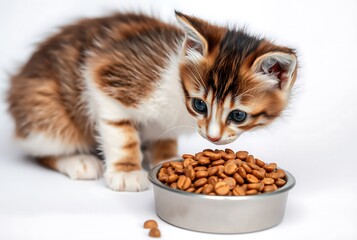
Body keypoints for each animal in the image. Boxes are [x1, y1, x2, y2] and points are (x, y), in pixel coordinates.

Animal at [7, 11, 298, 191]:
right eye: (199, 105)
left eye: (238, 115)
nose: (213, 137)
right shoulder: (105, 75)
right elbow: (121, 133)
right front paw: (126, 171)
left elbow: (164, 137)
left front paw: (168, 158)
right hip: (45, 113)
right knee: (40, 149)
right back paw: (79, 161)